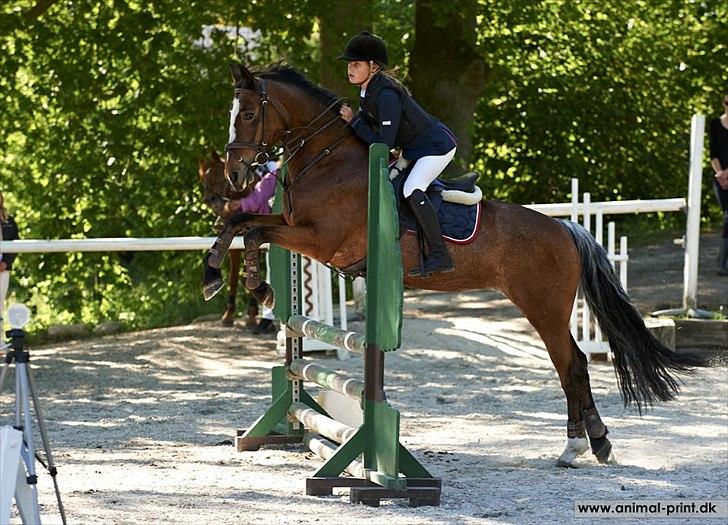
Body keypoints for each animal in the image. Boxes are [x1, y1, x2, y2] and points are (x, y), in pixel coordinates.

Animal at [202, 62, 704, 466]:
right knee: (570, 365)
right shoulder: (292, 225)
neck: (328, 157)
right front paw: (221, 277)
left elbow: (253, 230)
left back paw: (582, 445)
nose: (235, 174)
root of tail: (566, 230)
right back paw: (589, 444)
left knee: (573, 363)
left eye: (248, 114)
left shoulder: (320, 241)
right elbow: (242, 224)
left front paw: (254, 286)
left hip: (543, 307)